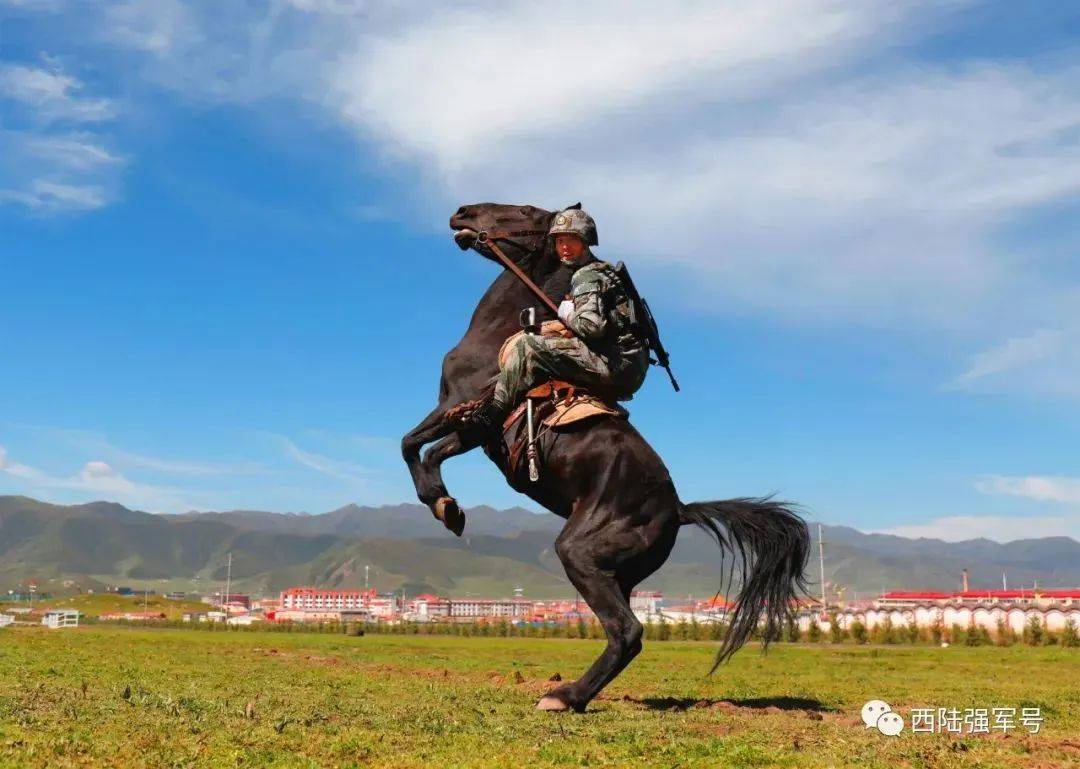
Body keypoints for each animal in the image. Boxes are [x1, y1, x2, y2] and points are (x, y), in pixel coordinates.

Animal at [401, 200, 807, 712]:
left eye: (524, 211)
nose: (462, 213)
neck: (497, 336)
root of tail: (677, 509)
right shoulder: (475, 432)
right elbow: (427, 450)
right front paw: (447, 506)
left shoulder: (465, 414)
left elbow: (412, 445)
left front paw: (443, 505)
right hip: (618, 575)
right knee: (623, 633)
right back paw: (574, 693)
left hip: (579, 553)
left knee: (627, 631)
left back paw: (564, 696)